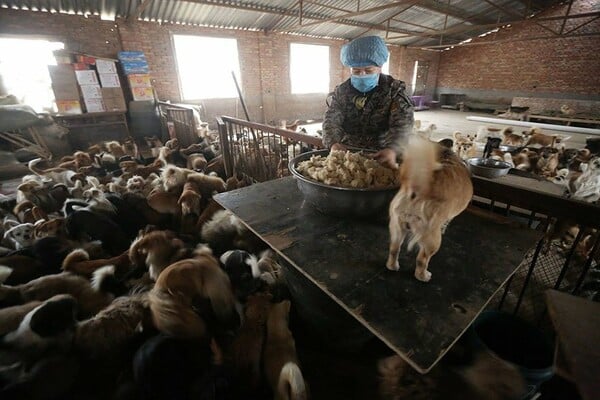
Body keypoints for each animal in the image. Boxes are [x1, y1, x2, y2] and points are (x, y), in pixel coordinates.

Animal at [386, 139, 476, 282]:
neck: (446, 155)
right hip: (432, 239)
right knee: (422, 260)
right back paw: (423, 276)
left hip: (396, 228)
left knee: (394, 249)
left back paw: (393, 266)